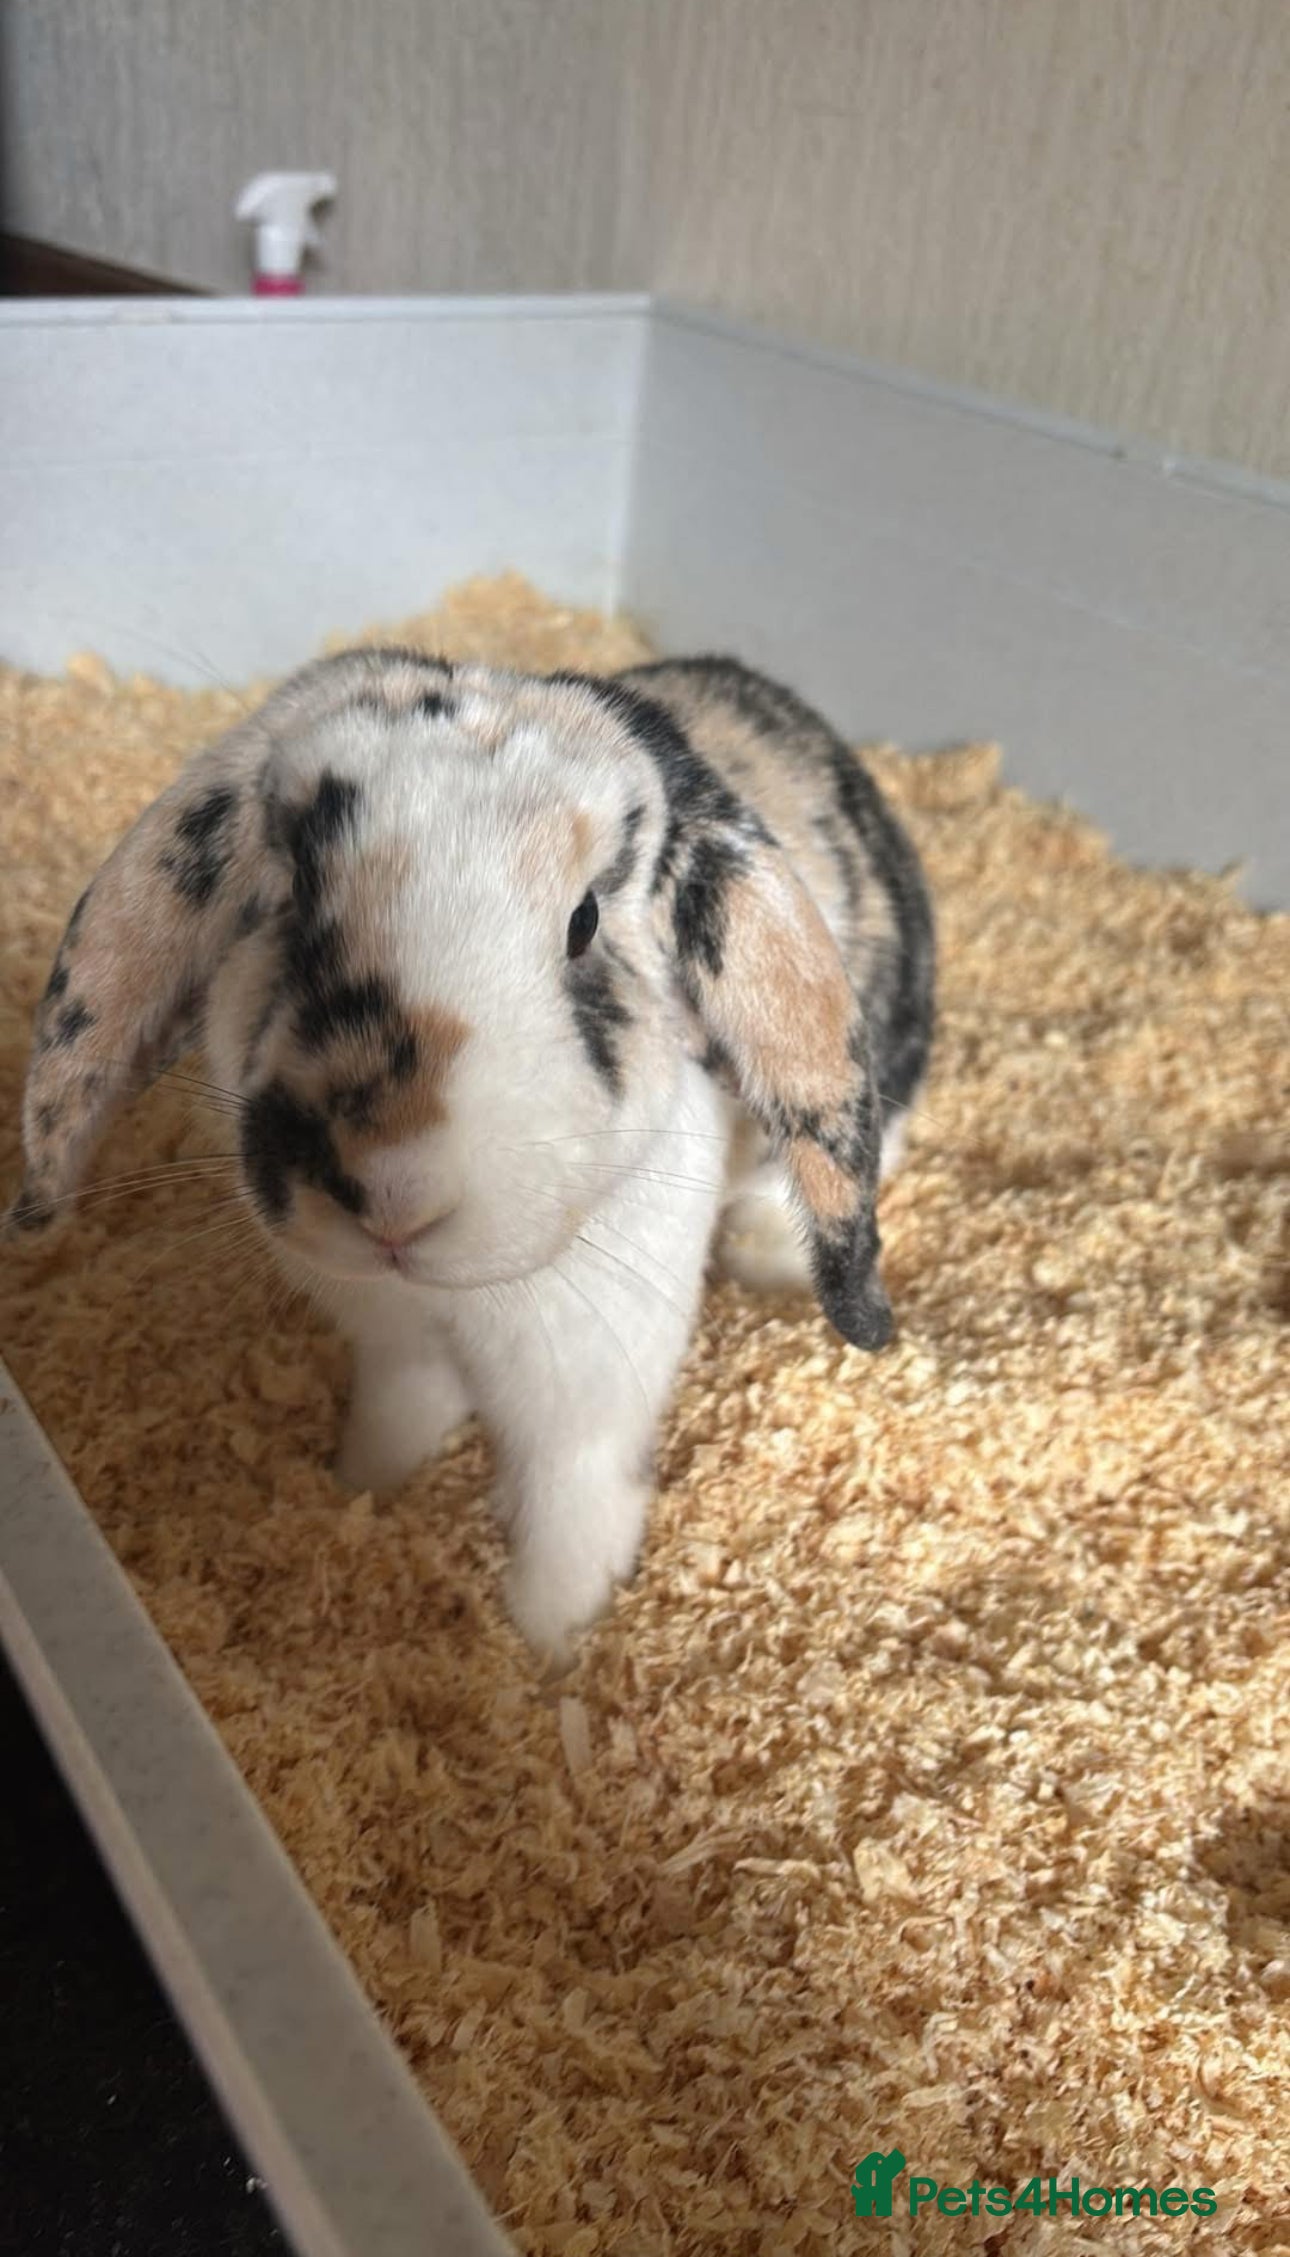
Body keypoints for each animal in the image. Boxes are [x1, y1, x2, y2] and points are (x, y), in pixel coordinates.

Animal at [7, 646, 934, 1655]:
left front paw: (551, 1643)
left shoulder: (587, 1387)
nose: (390, 1186)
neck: (445, 1297)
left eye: (584, 922)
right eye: (292, 892)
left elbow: (574, 1504)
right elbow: (398, 1417)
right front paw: (358, 1486)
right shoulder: (394, 1343)